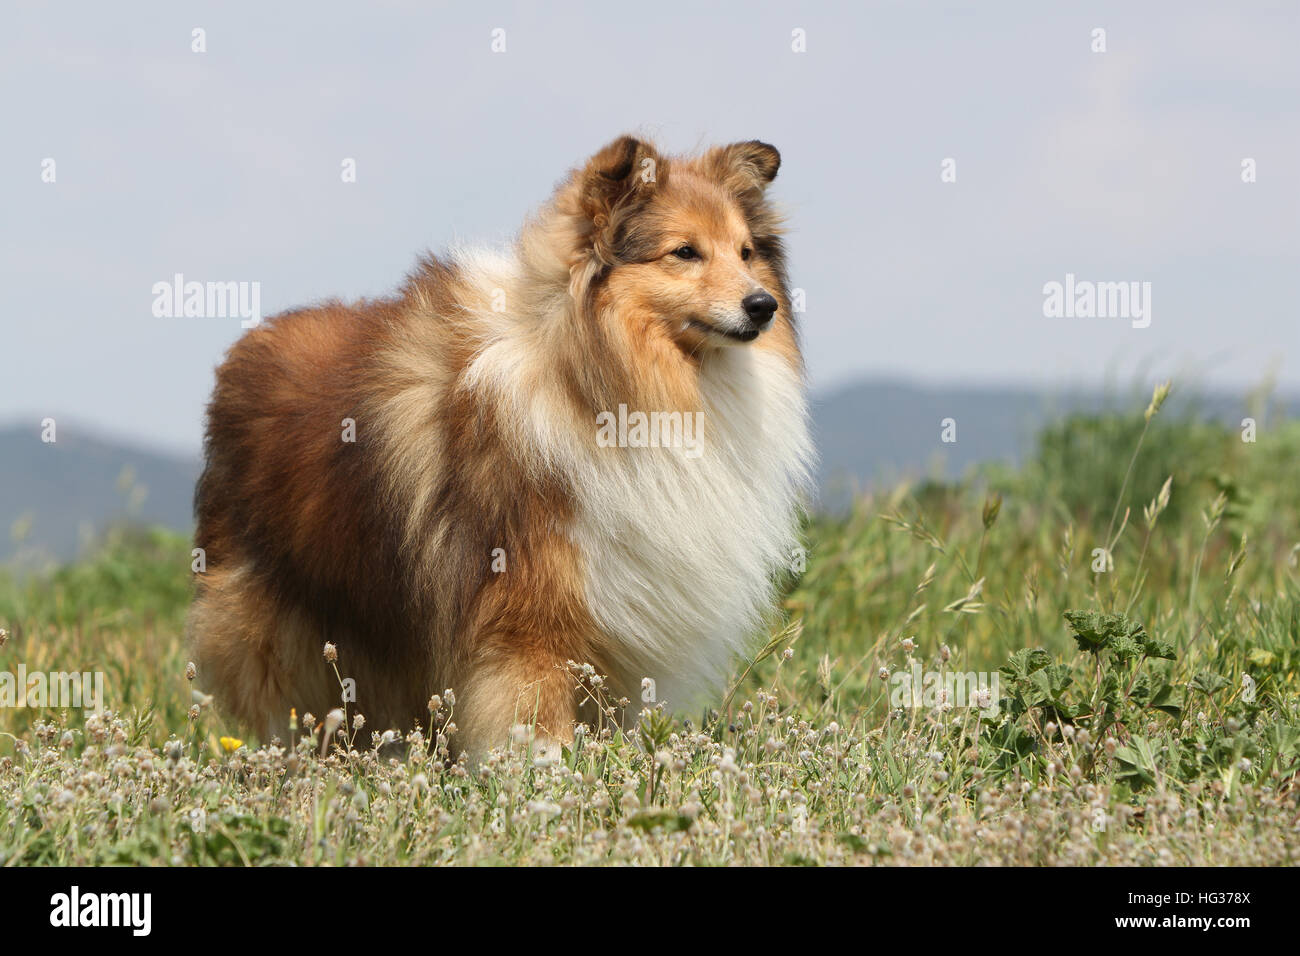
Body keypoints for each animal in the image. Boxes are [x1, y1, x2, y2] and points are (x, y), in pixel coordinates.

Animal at [189, 136, 811, 764]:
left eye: (746, 252)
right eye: (685, 252)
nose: (763, 306)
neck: (594, 376)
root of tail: (247, 346)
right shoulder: (527, 610)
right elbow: (536, 714)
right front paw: (548, 774)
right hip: (282, 619)